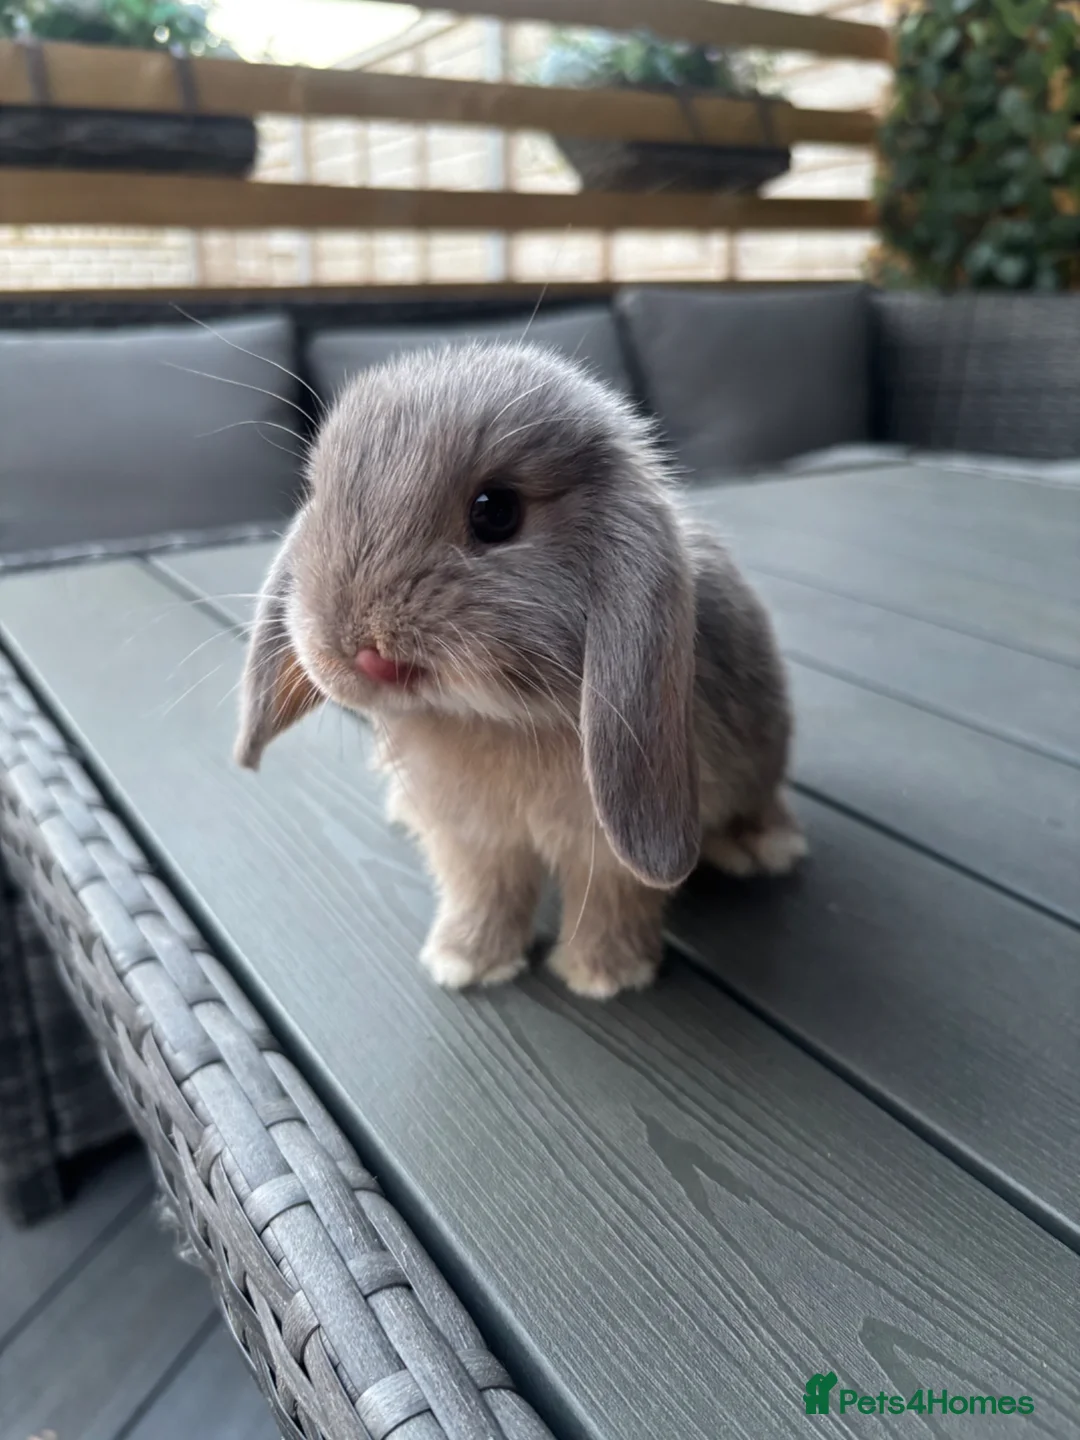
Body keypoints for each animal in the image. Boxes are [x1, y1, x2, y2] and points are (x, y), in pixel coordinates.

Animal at [234, 341, 806, 1000]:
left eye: (495, 512)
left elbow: (611, 901)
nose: (364, 652)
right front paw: (465, 962)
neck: (492, 718)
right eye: (316, 496)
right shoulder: (472, 839)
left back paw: (762, 846)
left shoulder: (603, 849)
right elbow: (484, 893)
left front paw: (604, 976)